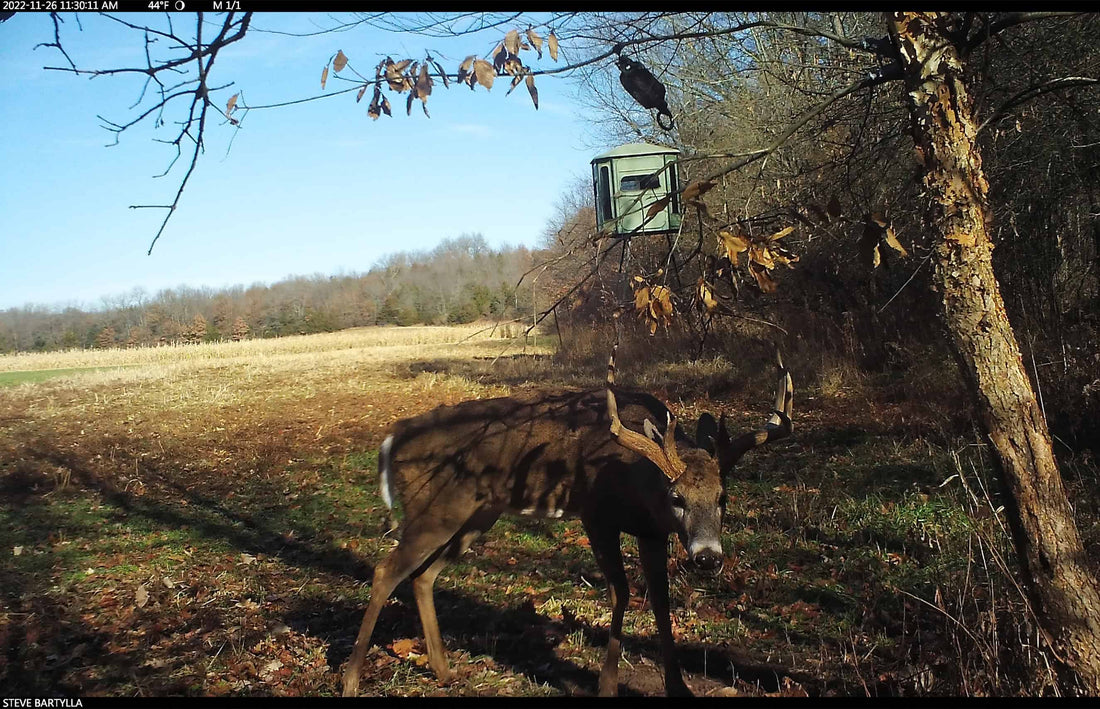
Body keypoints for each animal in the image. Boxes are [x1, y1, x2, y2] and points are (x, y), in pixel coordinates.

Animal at [341, 346, 793, 697]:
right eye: (676, 498)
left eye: (723, 498)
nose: (707, 557)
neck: (637, 480)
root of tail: (392, 437)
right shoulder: (596, 515)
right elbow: (620, 593)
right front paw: (607, 685)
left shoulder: (651, 532)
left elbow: (661, 602)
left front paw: (678, 688)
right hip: (436, 509)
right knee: (386, 570)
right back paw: (351, 679)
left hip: (475, 516)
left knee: (423, 576)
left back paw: (443, 670)